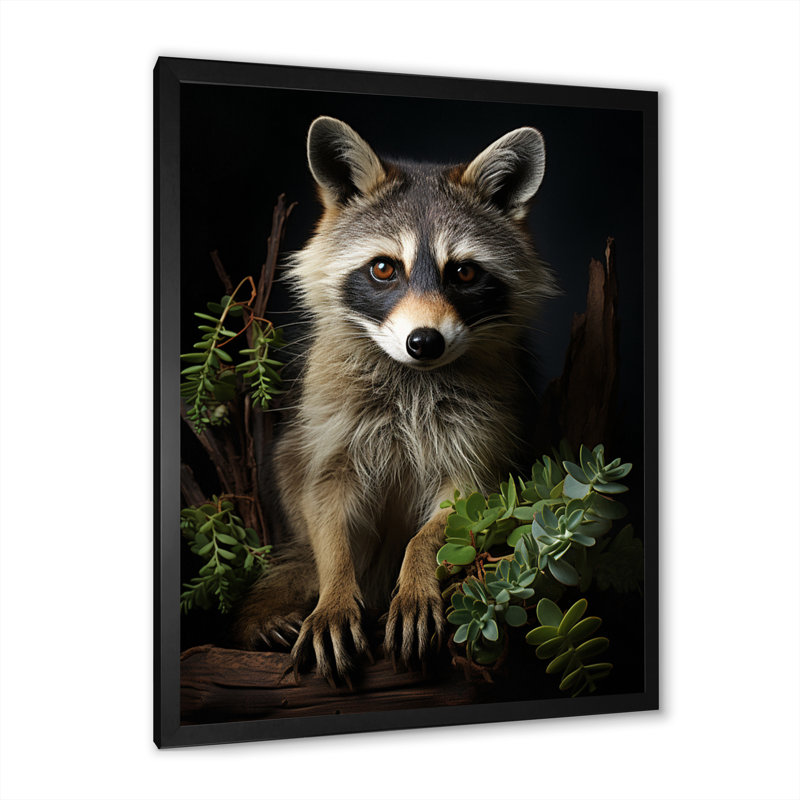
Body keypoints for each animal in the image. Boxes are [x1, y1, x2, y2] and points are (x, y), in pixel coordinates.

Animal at [235, 116, 555, 685]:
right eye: (384, 269)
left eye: (464, 273)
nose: (424, 342)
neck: (414, 377)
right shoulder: (330, 425)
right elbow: (325, 504)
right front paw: (336, 592)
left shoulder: (485, 431)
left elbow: (459, 510)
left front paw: (418, 572)